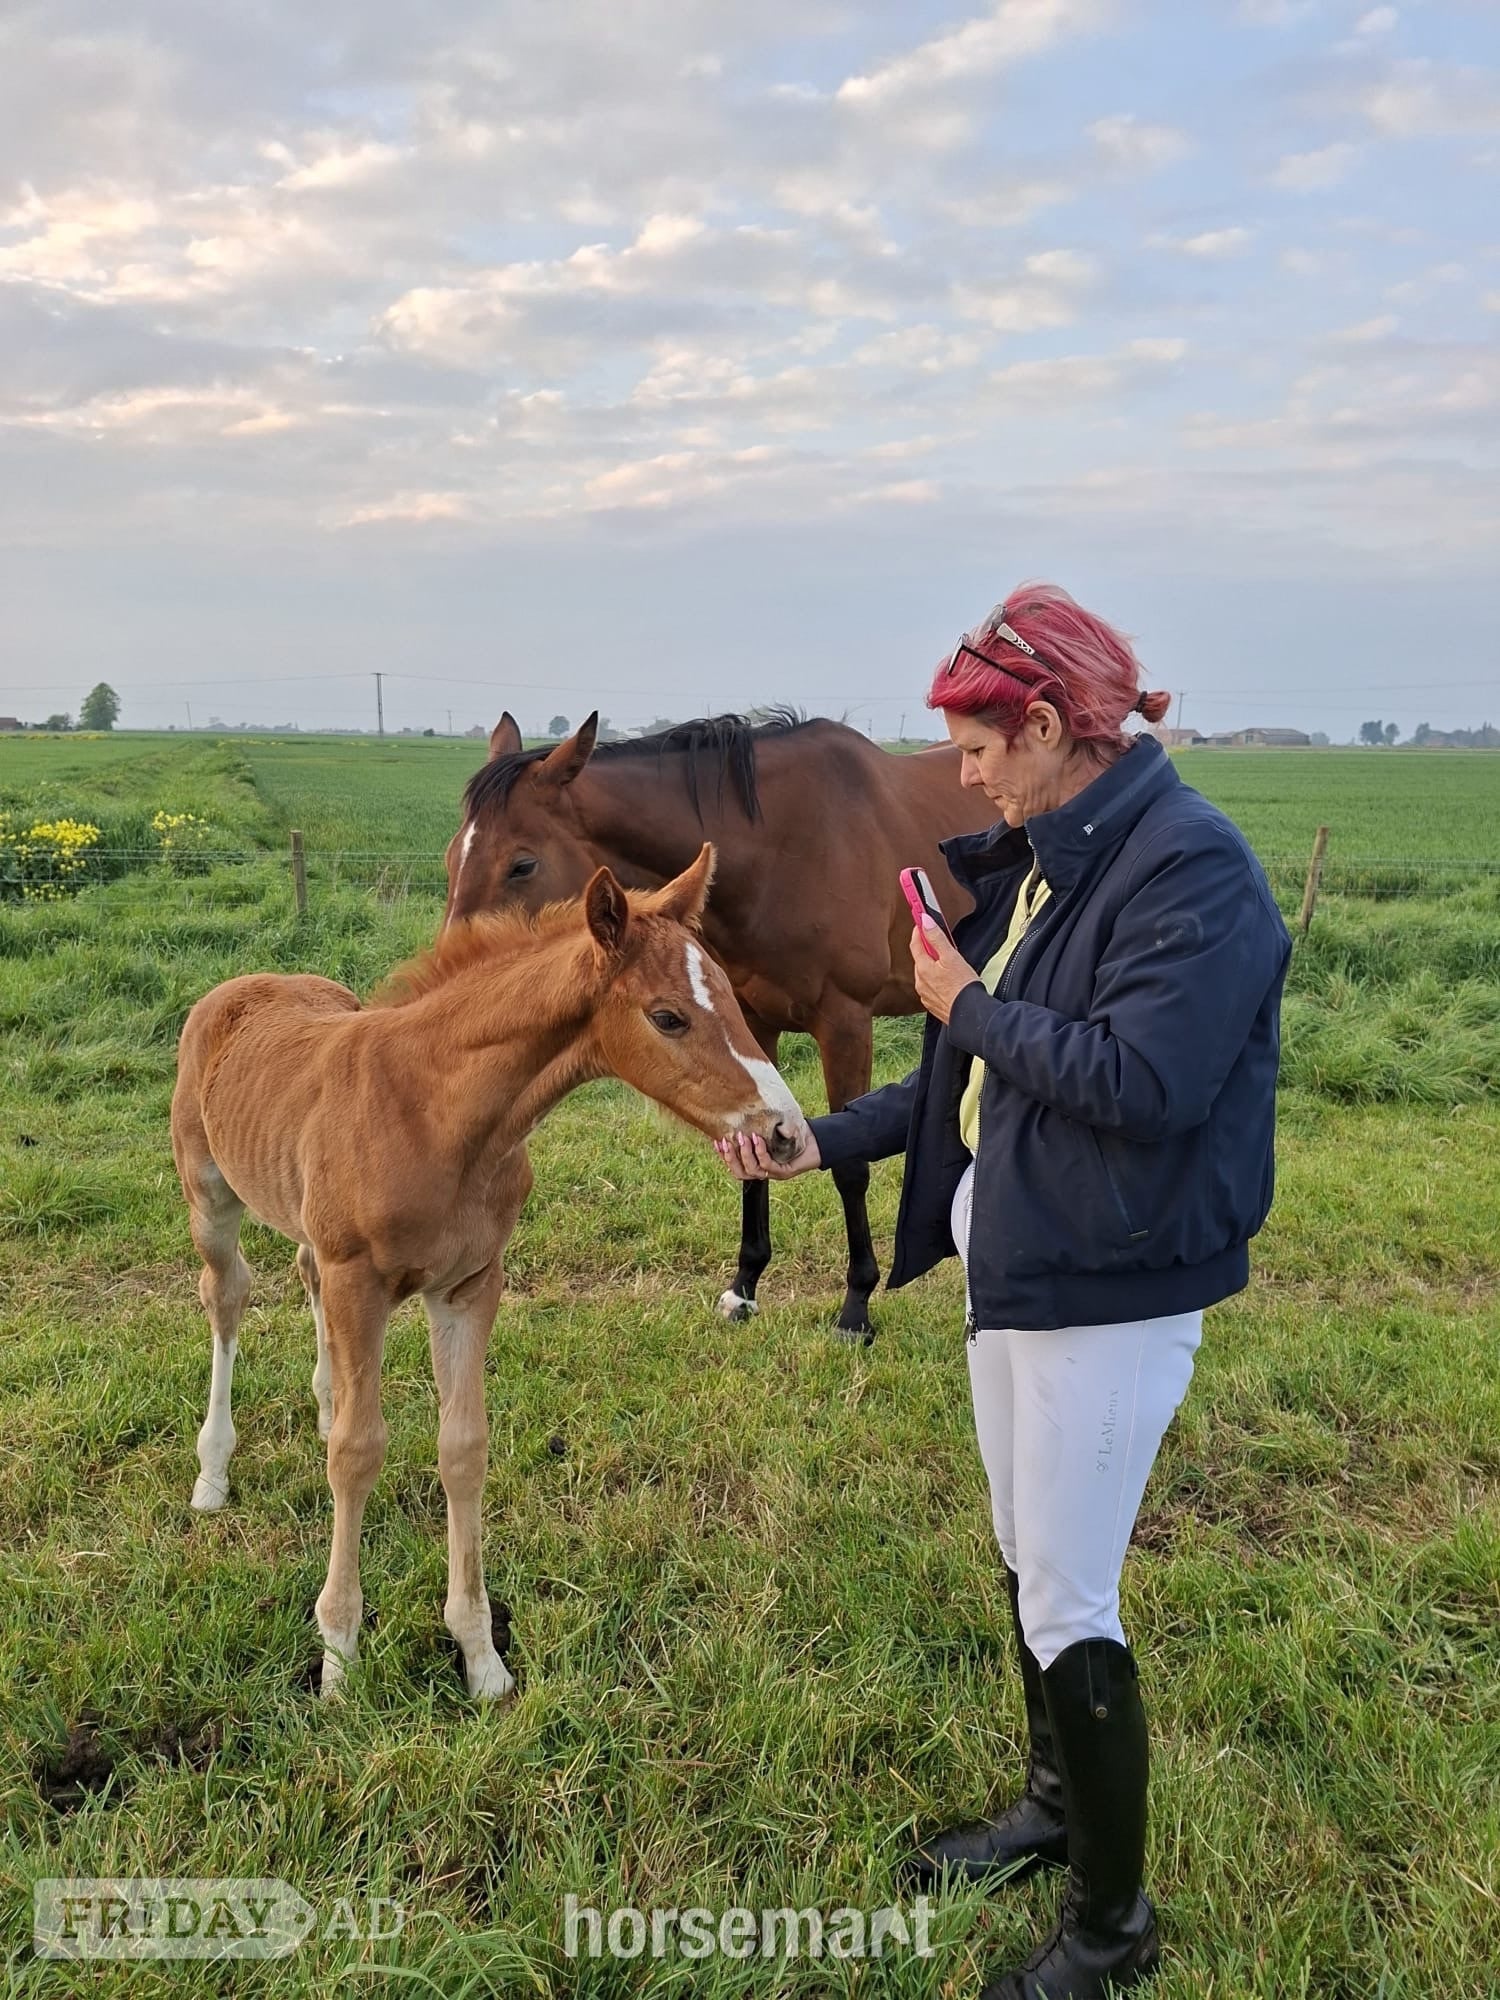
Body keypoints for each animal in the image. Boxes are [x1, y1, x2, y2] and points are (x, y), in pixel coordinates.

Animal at [171, 846, 807, 1700]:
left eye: (734, 1000)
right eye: (668, 1016)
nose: (786, 1132)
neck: (435, 1112)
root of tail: (242, 985)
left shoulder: (469, 1287)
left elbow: (463, 1448)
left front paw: (480, 1657)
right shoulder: (360, 1281)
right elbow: (359, 1454)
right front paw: (338, 1656)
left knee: (302, 1277)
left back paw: (325, 1401)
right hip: (210, 1197)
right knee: (228, 1297)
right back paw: (213, 1474)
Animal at [442, 710, 994, 1339]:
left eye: (522, 864)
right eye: (451, 858)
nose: (458, 983)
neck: (785, 849)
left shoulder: (847, 1024)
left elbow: (850, 1167)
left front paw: (856, 1307)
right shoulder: (751, 1024)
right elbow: (753, 1149)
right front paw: (744, 1287)